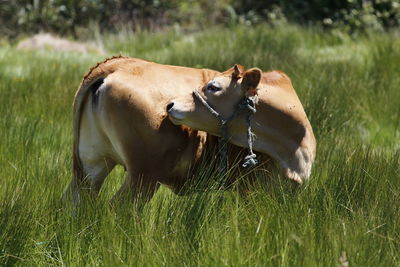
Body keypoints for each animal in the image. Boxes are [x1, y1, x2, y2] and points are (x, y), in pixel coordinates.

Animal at [63, 56, 316, 205]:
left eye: (214, 86)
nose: (170, 105)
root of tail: (121, 63)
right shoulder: (250, 188)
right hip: (143, 175)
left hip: (92, 165)